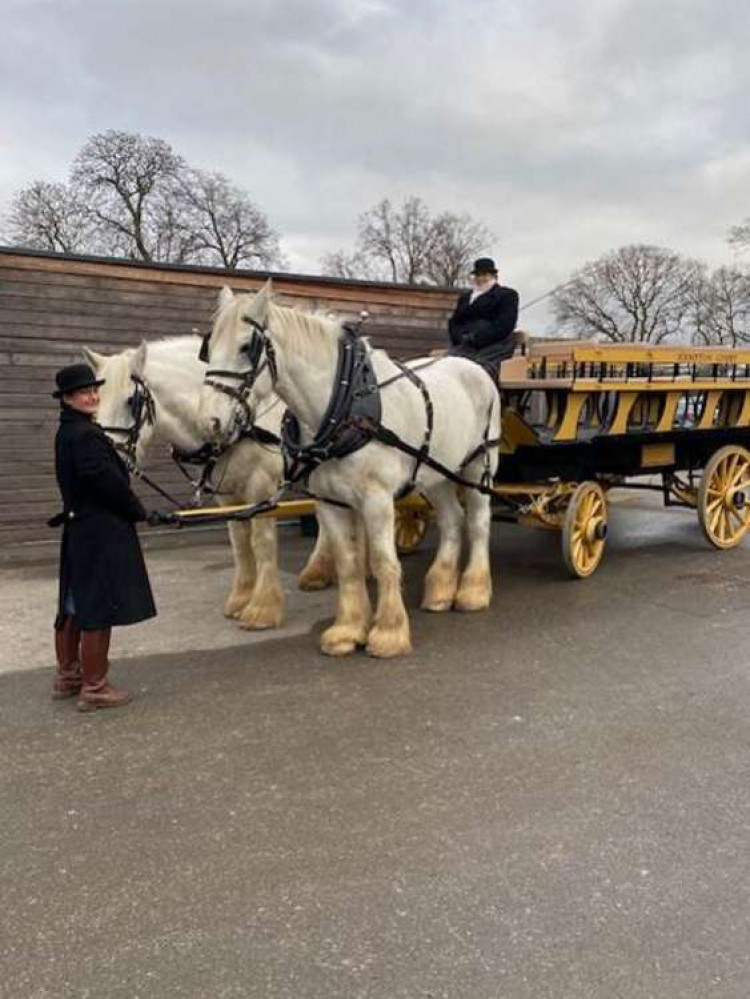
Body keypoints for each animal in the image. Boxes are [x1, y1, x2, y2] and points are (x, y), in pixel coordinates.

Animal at [83, 338, 336, 632]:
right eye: (94, 401)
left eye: (131, 401)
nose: (103, 458)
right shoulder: (228, 496)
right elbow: (239, 543)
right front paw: (241, 599)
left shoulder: (261, 487)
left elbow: (261, 543)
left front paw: (262, 608)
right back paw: (318, 572)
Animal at [197, 284, 502, 656]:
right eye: (208, 349)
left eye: (245, 346)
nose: (210, 421)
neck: (343, 405)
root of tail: (473, 366)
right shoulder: (330, 501)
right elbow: (347, 563)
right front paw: (348, 630)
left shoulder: (377, 499)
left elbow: (384, 561)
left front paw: (388, 633)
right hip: (437, 472)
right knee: (452, 520)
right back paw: (441, 590)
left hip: (477, 465)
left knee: (478, 521)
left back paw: (473, 591)